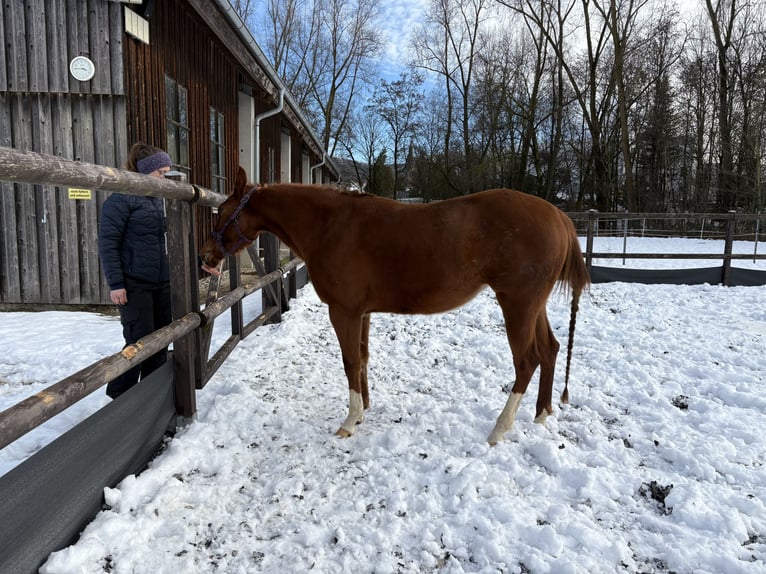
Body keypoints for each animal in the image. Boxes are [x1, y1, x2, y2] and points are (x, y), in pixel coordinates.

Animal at [200, 168, 590, 444]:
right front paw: (363, 412)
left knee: (527, 361)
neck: (330, 226)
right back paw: (541, 415)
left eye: (222, 211)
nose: (206, 256)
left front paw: (349, 421)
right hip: (532, 305)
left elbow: (350, 361)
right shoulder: (362, 312)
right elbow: (362, 358)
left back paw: (499, 429)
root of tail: (560, 218)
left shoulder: (343, 311)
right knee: (550, 350)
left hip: (517, 304)